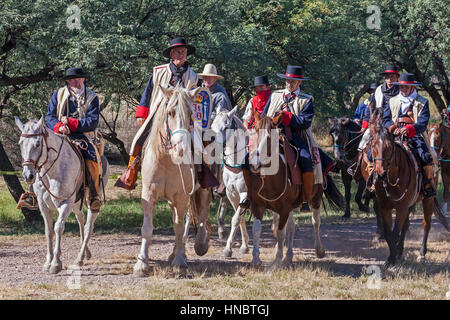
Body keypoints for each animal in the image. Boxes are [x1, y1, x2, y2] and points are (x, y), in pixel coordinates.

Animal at [14, 116, 109, 274]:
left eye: (37, 143)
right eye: (21, 143)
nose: (28, 176)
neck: (52, 171)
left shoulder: (65, 203)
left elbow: (58, 228)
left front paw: (56, 263)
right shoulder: (44, 206)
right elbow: (48, 231)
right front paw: (48, 262)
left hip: (91, 199)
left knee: (89, 226)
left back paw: (79, 258)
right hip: (76, 203)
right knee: (80, 218)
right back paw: (85, 254)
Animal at [134, 85, 213, 278]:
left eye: (191, 114)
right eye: (170, 112)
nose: (181, 148)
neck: (166, 160)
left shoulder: (181, 196)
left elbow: (179, 227)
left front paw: (179, 260)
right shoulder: (148, 194)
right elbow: (147, 228)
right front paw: (142, 263)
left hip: (201, 191)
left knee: (201, 213)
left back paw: (197, 245)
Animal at [243, 111, 344, 266]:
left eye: (270, 137)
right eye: (256, 132)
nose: (255, 164)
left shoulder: (284, 208)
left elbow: (280, 233)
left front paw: (277, 259)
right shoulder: (258, 205)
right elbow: (257, 229)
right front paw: (256, 258)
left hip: (315, 198)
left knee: (315, 222)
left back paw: (318, 250)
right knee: (292, 227)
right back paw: (289, 256)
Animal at [364, 109, 448, 266]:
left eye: (389, 147)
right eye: (373, 146)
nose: (380, 174)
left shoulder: (402, 207)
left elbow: (395, 233)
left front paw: (393, 258)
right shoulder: (385, 207)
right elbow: (389, 233)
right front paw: (392, 257)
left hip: (428, 200)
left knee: (426, 224)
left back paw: (421, 253)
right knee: (406, 226)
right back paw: (400, 252)